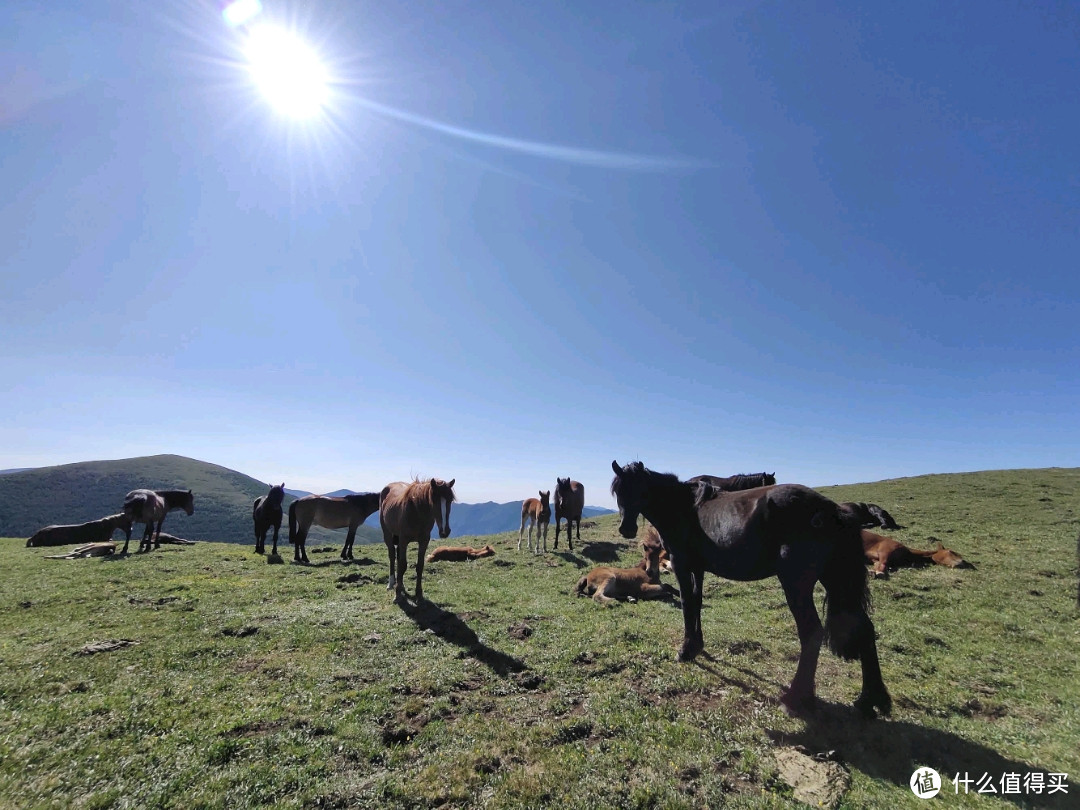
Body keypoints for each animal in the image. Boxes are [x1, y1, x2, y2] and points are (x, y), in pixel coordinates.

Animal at [613, 460, 889, 721]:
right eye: (618, 491)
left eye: (637, 489)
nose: (626, 529)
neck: (683, 508)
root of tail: (833, 510)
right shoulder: (698, 569)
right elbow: (697, 602)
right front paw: (697, 645)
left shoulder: (681, 565)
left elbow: (687, 605)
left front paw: (686, 650)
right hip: (835, 579)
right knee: (864, 629)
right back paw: (870, 700)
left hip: (797, 584)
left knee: (812, 632)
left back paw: (795, 698)